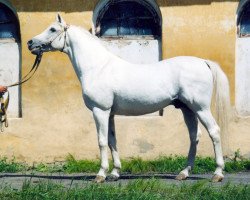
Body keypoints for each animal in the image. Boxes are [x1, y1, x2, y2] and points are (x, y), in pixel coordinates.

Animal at [27, 13, 230, 183]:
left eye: (53, 29)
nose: (30, 43)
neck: (98, 67)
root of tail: (203, 62)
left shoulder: (100, 111)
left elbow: (101, 141)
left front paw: (101, 175)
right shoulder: (109, 114)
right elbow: (112, 141)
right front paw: (115, 173)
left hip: (201, 108)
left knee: (214, 132)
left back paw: (217, 174)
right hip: (188, 109)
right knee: (194, 136)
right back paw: (183, 173)